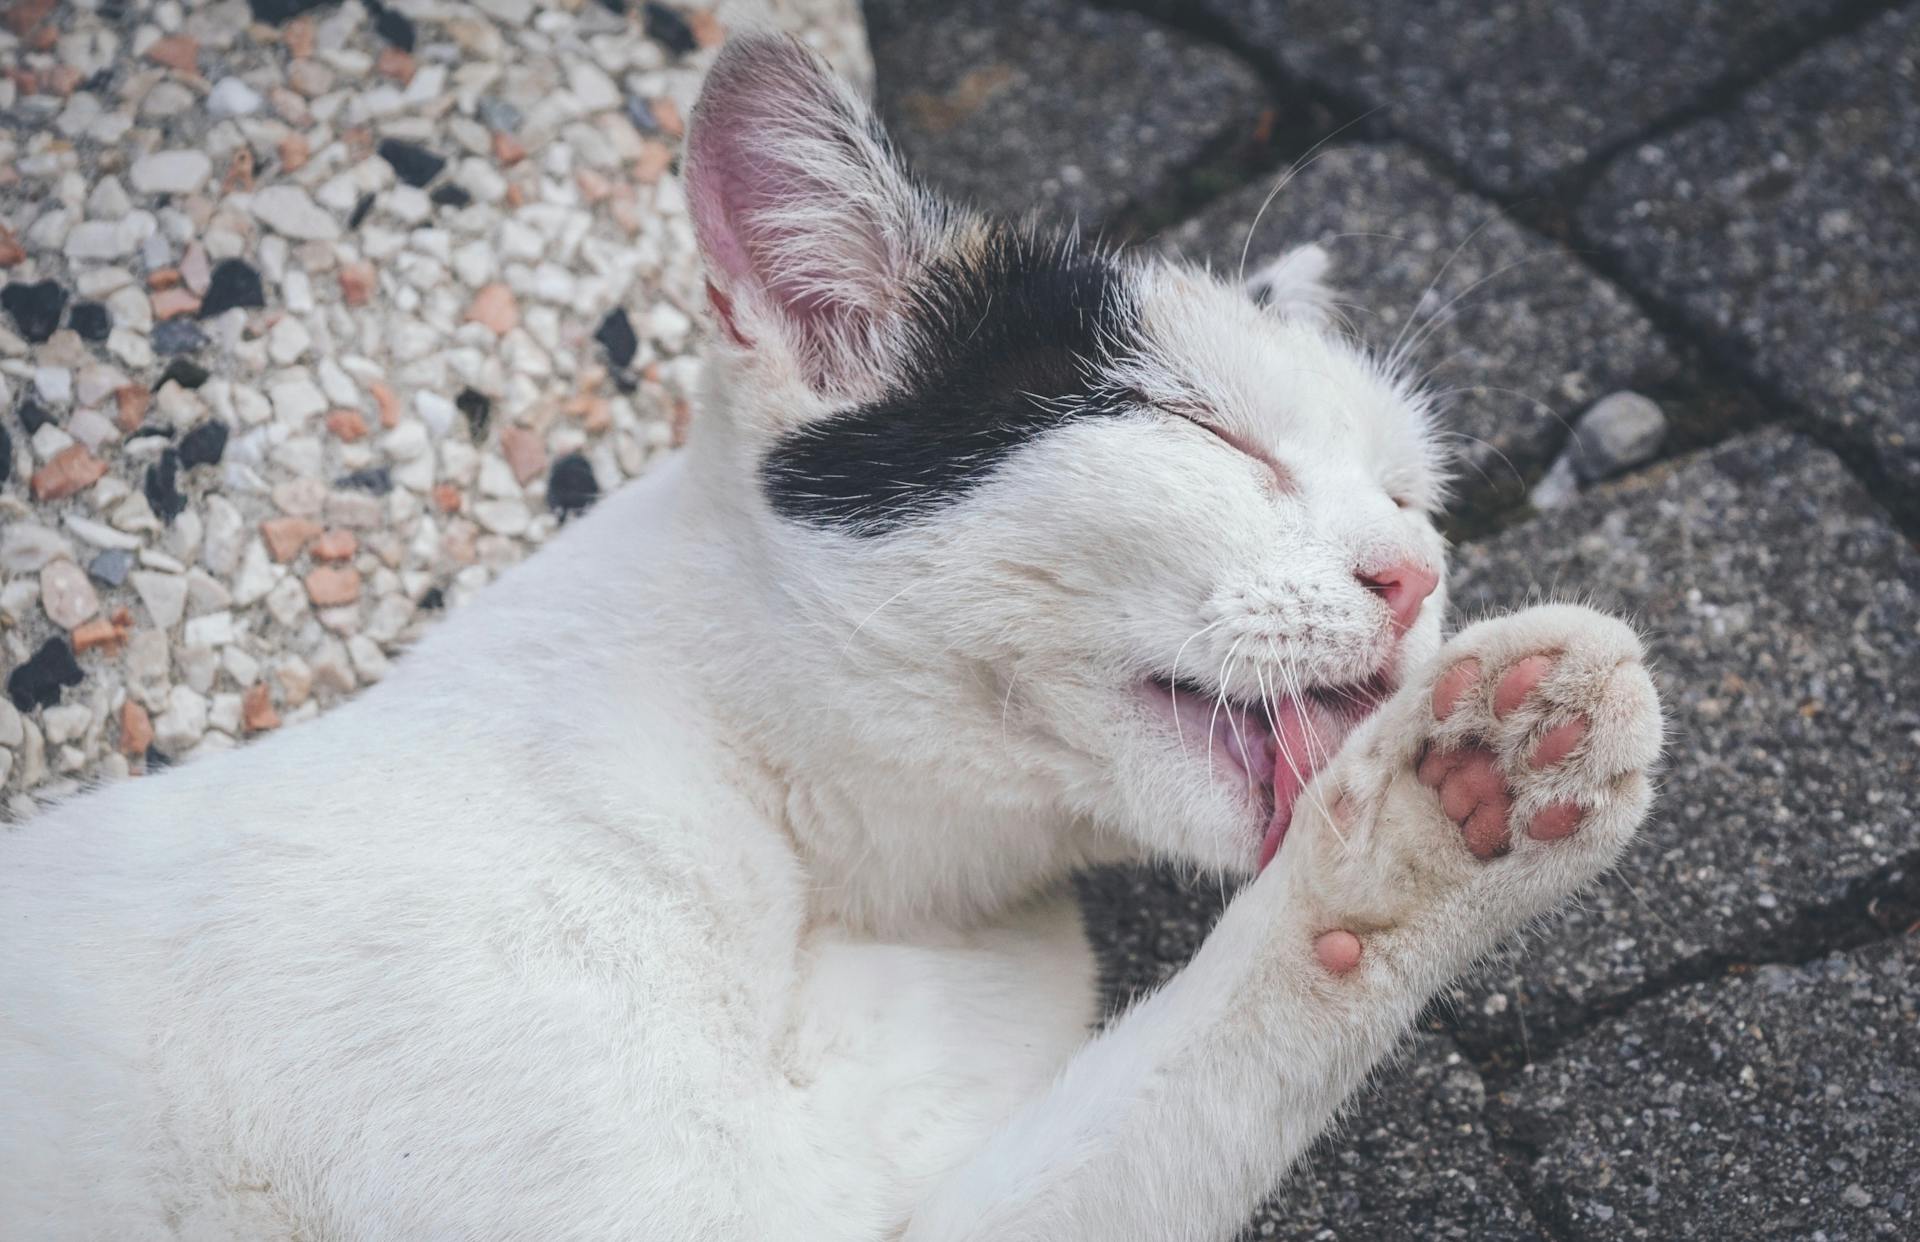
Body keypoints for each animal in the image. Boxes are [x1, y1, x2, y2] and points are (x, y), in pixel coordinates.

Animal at [0, 31, 1658, 1242]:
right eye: (1209, 434)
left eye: (1410, 492)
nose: (1413, 572)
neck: (865, 888)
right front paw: (1455, 789)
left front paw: (1468, 809)